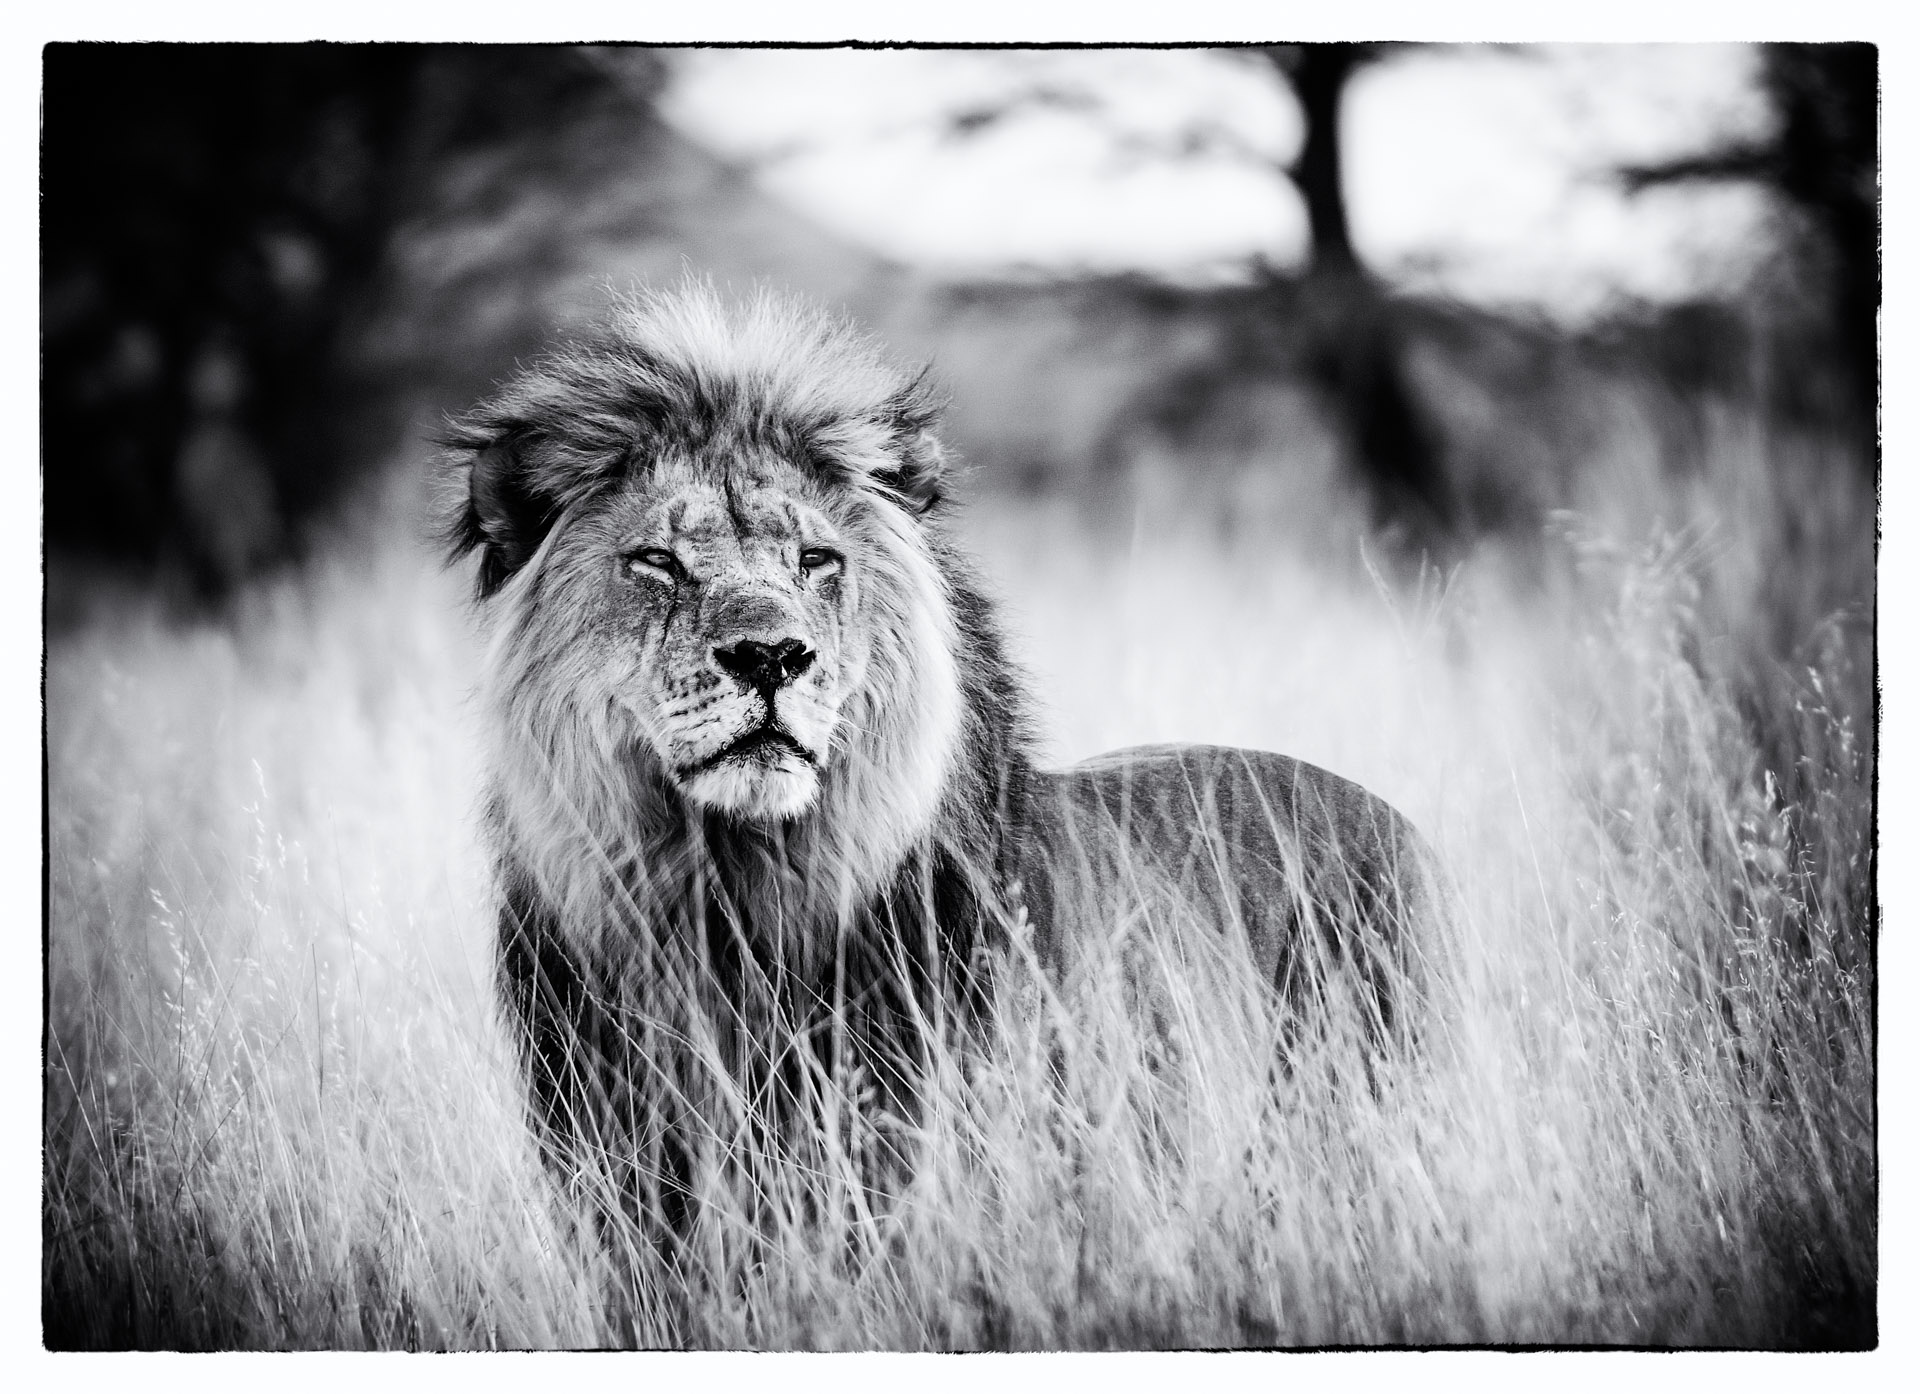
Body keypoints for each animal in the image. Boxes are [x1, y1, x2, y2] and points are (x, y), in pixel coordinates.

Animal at [441, 283, 1449, 1251]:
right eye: (655, 560)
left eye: (816, 559)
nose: (771, 657)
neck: (734, 900)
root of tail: (1394, 817)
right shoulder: (622, 1196)